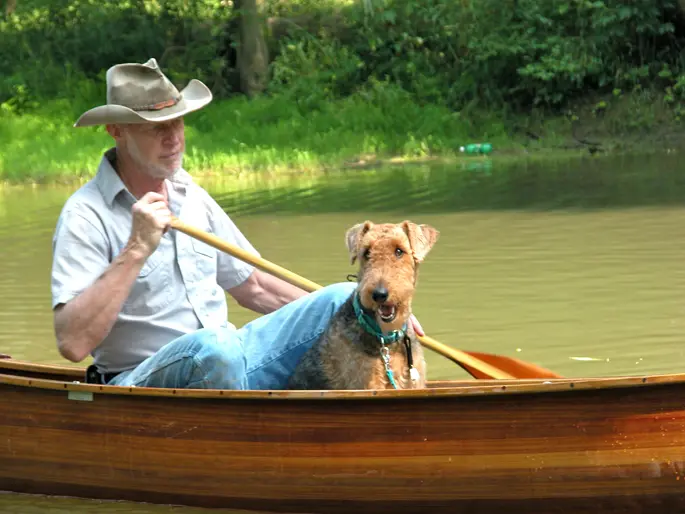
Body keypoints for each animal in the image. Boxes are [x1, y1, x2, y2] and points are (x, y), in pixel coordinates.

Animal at [288, 219, 438, 388]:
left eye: (399, 251)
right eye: (366, 252)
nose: (379, 294)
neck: (386, 340)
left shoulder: (414, 383)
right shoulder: (366, 384)